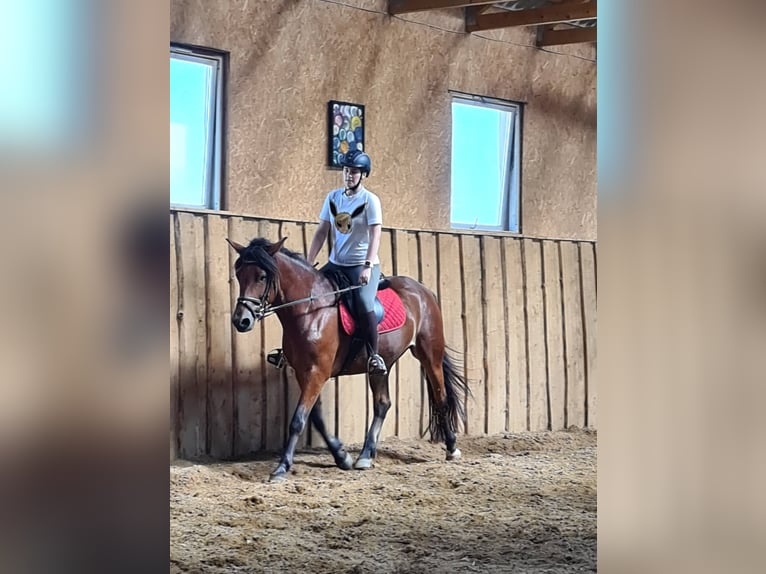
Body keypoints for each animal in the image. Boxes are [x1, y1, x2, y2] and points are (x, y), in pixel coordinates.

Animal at [225, 236, 472, 484]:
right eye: (239, 274)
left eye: (261, 276)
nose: (241, 321)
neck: (310, 310)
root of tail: (423, 291)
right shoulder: (305, 372)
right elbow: (316, 418)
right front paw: (342, 456)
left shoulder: (317, 372)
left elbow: (298, 420)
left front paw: (281, 468)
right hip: (382, 364)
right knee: (383, 403)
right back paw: (365, 456)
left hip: (429, 355)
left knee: (440, 397)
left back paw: (452, 448)